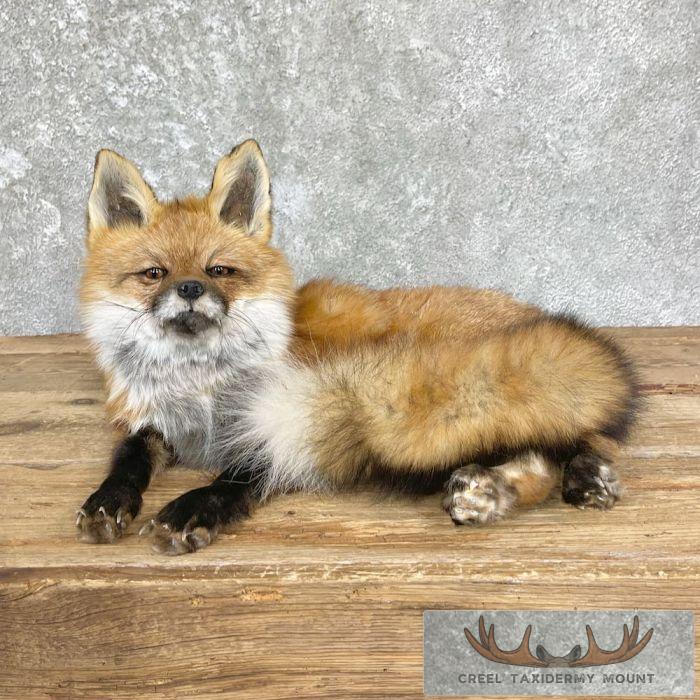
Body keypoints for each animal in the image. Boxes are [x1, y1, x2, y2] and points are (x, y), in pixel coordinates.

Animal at [76, 139, 638, 555]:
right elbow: (126, 461)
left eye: (219, 270)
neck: (202, 390)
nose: (191, 289)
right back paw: (511, 491)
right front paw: (107, 501)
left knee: (570, 443)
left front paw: (195, 507)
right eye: (154, 273)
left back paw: (563, 480)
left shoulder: (274, 422)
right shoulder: (153, 423)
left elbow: (238, 477)